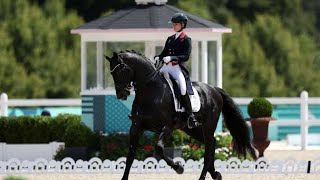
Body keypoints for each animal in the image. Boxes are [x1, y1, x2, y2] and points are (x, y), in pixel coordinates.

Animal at [105, 50, 258, 180]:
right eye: (112, 73)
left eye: (120, 71)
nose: (121, 95)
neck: (151, 92)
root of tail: (214, 89)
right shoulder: (137, 127)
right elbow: (130, 156)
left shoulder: (167, 127)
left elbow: (159, 149)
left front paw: (178, 168)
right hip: (191, 129)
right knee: (212, 144)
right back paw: (215, 174)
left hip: (208, 126)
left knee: (208, 149)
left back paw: (203, 177)